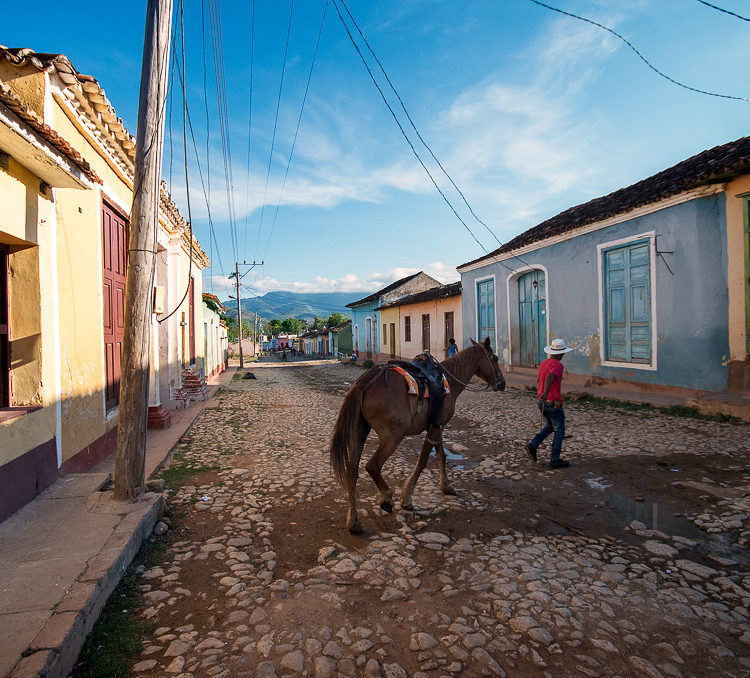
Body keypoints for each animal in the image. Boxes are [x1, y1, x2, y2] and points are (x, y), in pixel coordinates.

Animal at [328, 338, 506, 532]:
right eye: (495, 358)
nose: (502, 383)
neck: (449, 380)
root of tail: (365, 381)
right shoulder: (434, 428)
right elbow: (423, 461)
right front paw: (406, 498)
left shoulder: (437, 425)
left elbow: (441, 456)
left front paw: (446, 486)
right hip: (393, 436)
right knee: (372, 465)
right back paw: (386, 498)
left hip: (359, 430)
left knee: (352, 471)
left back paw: (354, 522)